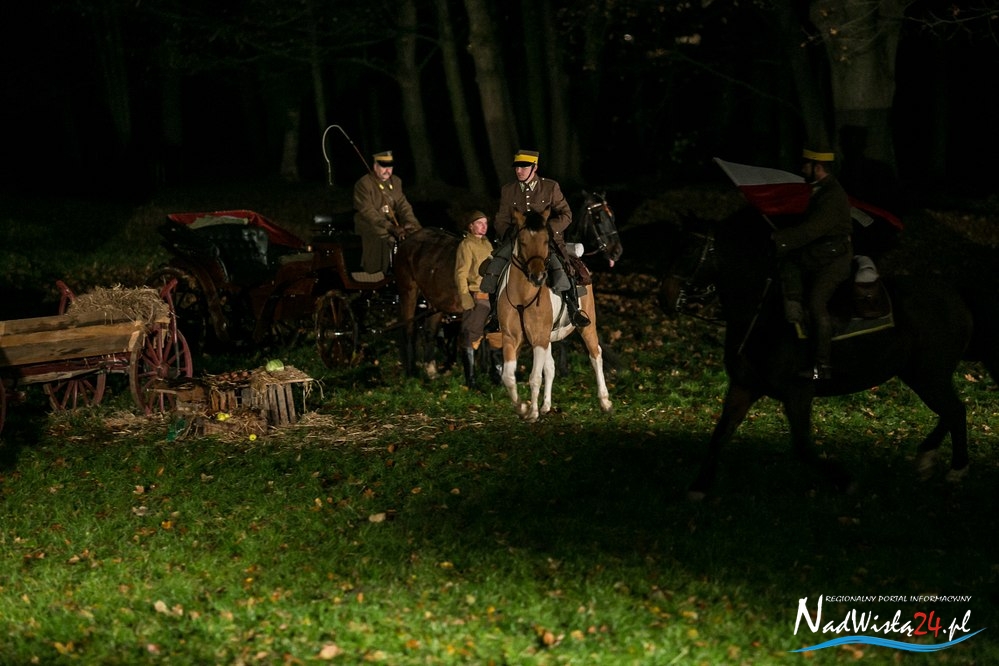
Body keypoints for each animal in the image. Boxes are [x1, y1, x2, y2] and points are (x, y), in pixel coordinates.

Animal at [498, 209, 613, 422]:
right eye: (522, 241)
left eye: (545, 241)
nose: (537, 277)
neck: (523, 296)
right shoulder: (511, 338)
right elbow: (509, 377)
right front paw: (523, 407)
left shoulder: (539, 339)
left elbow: (534, 377)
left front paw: (532, 412)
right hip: (548, 337)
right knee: (549, 368)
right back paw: (546, 406)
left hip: (586, 327)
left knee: (595, 355)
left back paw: (605, 401)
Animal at [658, 205, 999, 499]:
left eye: (688, 249)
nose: (665, 298)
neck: (763, 312)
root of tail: (956, 295)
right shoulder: (743, 387)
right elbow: (720, 434)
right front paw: (699, 486)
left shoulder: (798, 393)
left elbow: (802, 447)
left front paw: (845, 480)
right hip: (920, 375)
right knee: (951, 411)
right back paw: (927, 458)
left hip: (930, 375)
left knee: (955, 410)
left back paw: (956, 469)